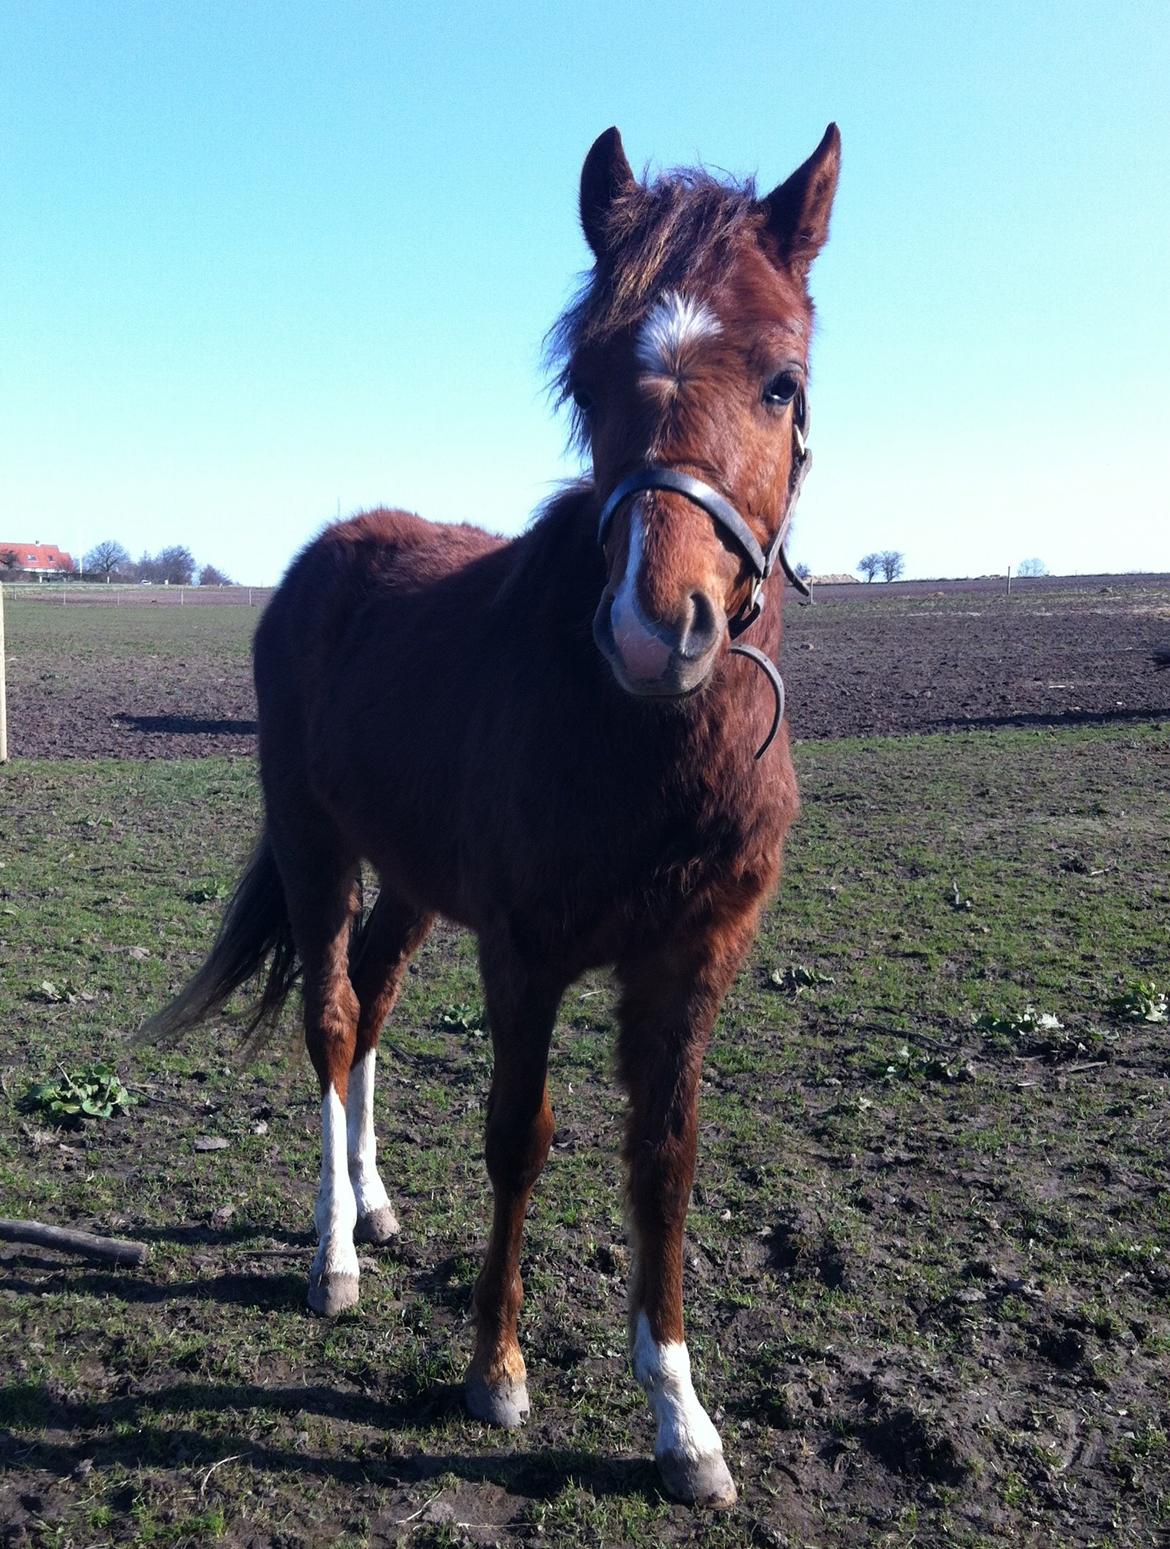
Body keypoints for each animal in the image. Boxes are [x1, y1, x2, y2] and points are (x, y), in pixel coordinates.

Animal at [144, 123, 841, 1508]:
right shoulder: (525, 955)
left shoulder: (693, 962)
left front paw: (682, 1421)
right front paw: (496, 1368)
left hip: (411, 879)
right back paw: (334, 1255)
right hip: (316, 844)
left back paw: (370, 1204)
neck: (643, 746)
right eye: (588, 375)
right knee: (332, 1014)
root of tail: (327, 554)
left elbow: (664, 1160)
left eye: (783, 381)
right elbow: (519, 1137)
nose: (656, 626)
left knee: (371, 1005)